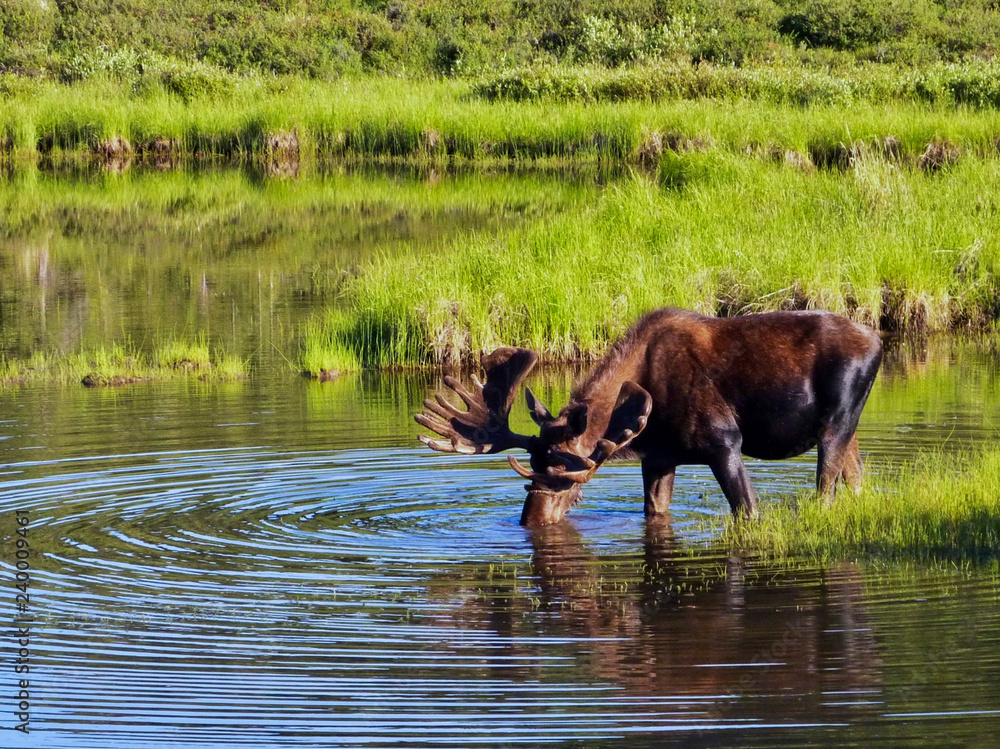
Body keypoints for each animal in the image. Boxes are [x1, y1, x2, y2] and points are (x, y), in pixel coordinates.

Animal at [416, 306, 884, 524]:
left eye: (566, 478)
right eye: (531, 466)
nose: (530, 521)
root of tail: (879, 341)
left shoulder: (724, 441)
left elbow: (748, 510)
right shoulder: (659, 456)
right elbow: (655, 512)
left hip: (838, 420)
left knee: (827, 489)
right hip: (849, 431)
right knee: (857, 479)